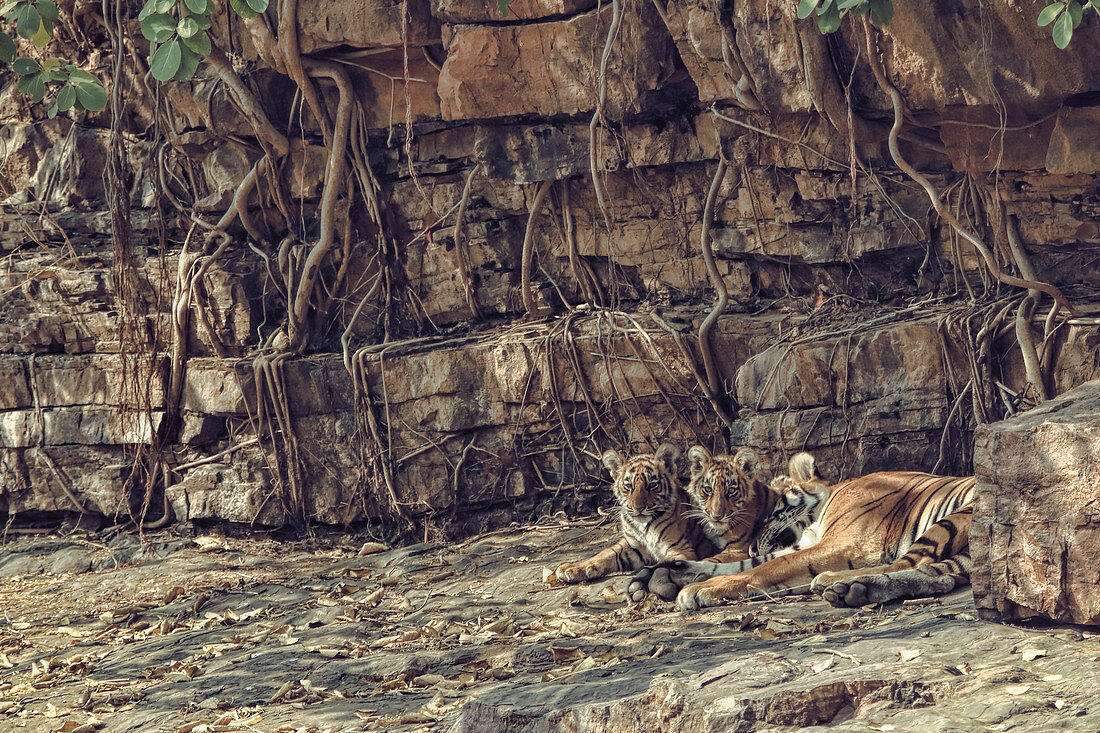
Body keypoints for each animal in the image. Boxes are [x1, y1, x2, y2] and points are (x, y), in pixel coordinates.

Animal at [554, 442, 717, 598]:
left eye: (652, 485)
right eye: (628, 486)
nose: (638, 508)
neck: (643, 527)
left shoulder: (681, 549)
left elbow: (665, 564)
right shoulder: (632, 546)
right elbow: (604, 554)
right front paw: (572, 568)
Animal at [651, 444, 972, 611]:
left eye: (771, 510)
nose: (752, 544)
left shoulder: (843, 544)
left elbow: (764, 568)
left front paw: (699, 589)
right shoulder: (808, 544)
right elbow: (744, 564)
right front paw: (673, 571)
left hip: (957, 516)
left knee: (911, 563)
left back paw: (834, 582)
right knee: (940, 575)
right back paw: (853, 589)